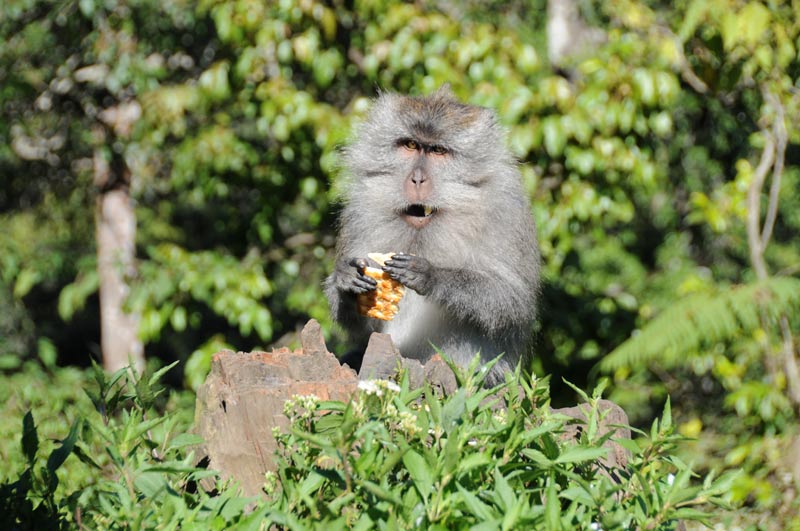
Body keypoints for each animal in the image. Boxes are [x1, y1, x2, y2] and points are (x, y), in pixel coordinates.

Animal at [322, 87, 540, 386]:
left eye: (438, 150)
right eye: (411, 145)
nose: (416, 180)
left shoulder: (506, 209)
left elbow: (512, 302)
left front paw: (430, 276)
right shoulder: (359, 210)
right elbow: (364, 324)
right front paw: (346, 279)